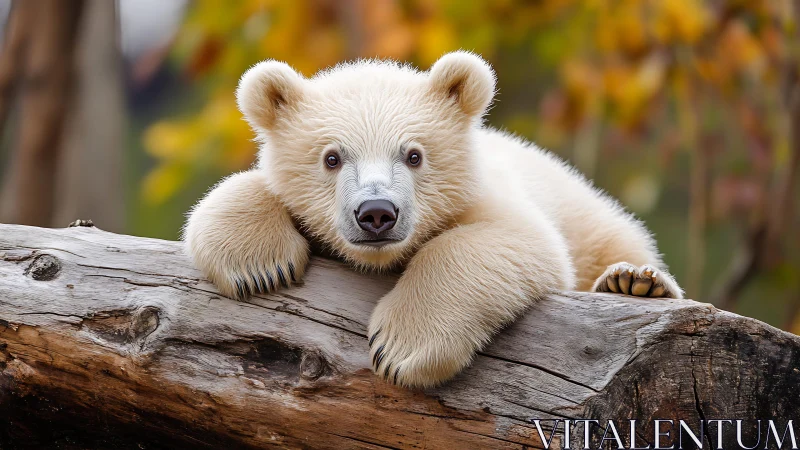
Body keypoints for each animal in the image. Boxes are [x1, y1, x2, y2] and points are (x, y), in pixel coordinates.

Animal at [184, 51, 682, 388]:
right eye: (331, 158)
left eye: (414, 155)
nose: (376, 214)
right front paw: (258, 266)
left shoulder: (484, 196)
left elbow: (516, 240)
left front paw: (401, 348)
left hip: (590, 216)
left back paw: (634, 282)